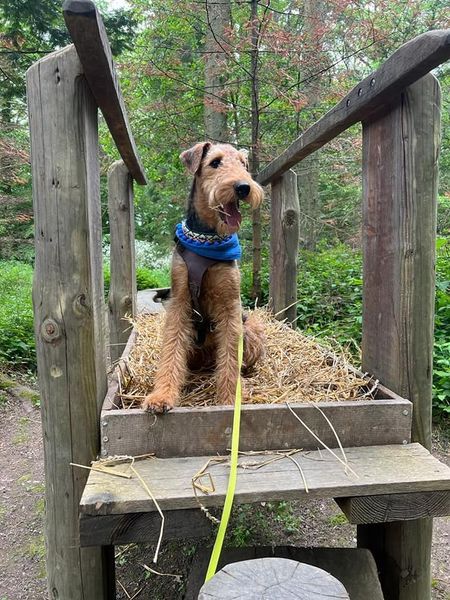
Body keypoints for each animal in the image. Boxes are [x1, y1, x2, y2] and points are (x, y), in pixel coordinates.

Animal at [142, 141, 266, 412]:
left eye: (243, 163)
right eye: (215, 162)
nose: (243, 187)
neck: (208, 238)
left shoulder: (230, 306)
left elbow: (230, 358)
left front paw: (229, 399)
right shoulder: (179, 301)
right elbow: (171, 350)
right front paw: (162, 396)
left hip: (250, 329)